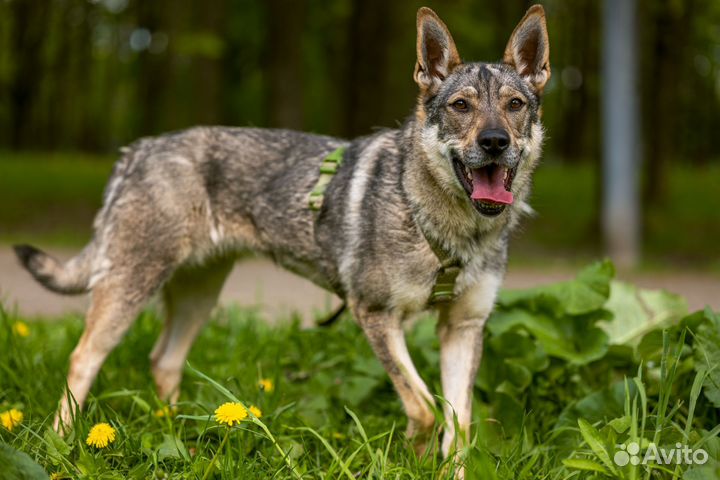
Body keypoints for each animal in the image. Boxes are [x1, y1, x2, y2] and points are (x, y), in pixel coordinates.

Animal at [14, 3, 548, 472]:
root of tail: (136, 151)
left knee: (163, 361)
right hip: (130, 286)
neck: (451, 230)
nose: (495, 142)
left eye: (515, 105)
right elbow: (423, 407)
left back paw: (179, 437)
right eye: (461, 106)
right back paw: (60, 445)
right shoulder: (375, 315)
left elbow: (458, 428)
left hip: (199, 295)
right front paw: (414, 456)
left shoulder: (463, 329)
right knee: (83, 358)